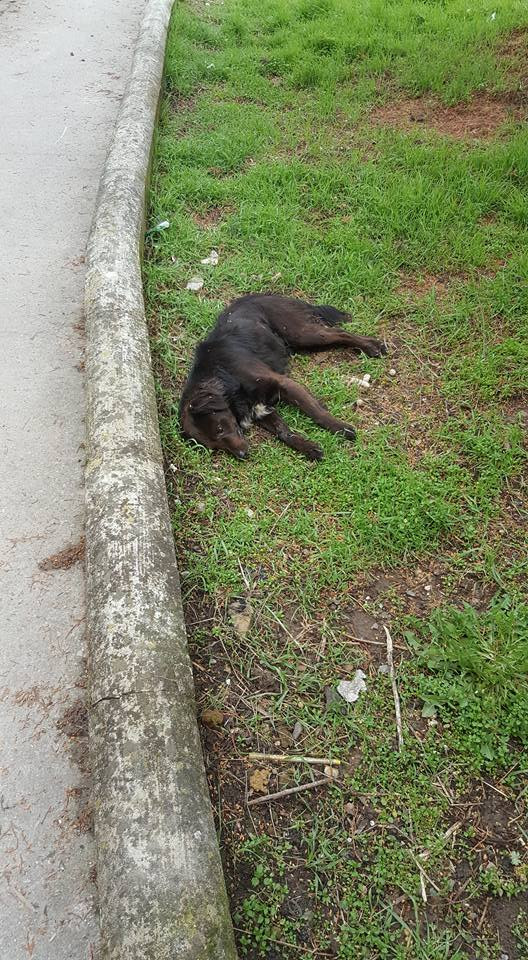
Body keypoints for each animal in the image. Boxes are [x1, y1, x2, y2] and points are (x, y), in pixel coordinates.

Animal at [179, 292, 386, 462]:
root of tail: (262, 294)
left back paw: (372, 346)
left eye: (219, 429)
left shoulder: (283, 384)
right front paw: (308, 448)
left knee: (340, 333)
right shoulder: (261, 410)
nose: (243, 455)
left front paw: (340, 428)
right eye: (214, 446)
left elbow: (316, 413)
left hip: (300, 333)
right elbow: (283, 432)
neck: (224, 378)